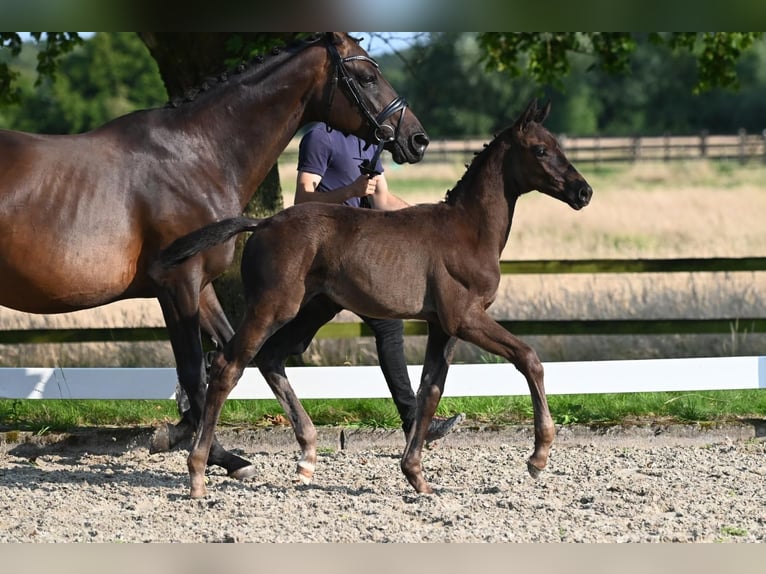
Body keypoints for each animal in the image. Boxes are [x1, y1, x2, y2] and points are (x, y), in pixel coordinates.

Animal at [0, 33, 432, 480]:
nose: (417, 139)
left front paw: (197, 441)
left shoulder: (200, 286)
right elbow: (197, 370)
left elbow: (231, 356)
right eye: (366, 77)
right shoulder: (179, 283)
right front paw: (210, 453)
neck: (196, 156)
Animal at [158, 97, 592, 498]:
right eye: (540, 150)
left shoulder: (443, 326)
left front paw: (416, 475)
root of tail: (262, 222)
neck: (468, 231)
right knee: (228, 365)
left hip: (312, 310)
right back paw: (198, 473)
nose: (583, 191)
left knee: (271, 358)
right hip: (272, 307)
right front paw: (538, 457)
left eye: (559, 146)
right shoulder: (465, 318)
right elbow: (528, 358)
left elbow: (430, 391)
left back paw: (306, 456)